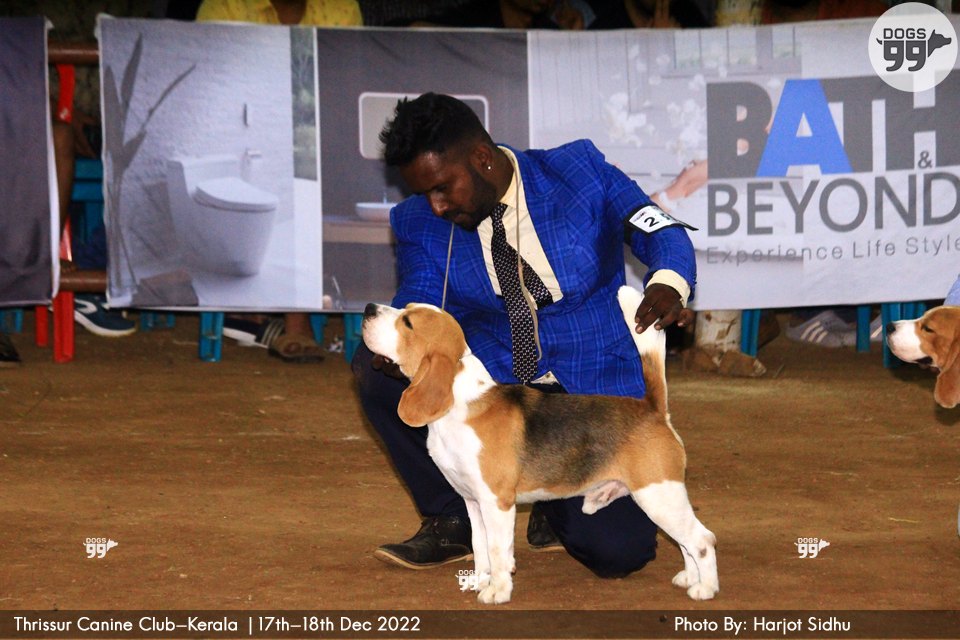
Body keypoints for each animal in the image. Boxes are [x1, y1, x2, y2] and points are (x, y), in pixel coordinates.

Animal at [361, 286, 718, 604]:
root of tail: (653, 409)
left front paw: (498, 592)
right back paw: (689, 577)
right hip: (662, 500)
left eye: (407, 322)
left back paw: (705, 588)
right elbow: (479, 547)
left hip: (659, 495)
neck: (460, 403)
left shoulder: (497, 501)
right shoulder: (473, 502)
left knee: (701, 540)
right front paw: (481, 581)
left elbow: (497, 550)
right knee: (686, 542)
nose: (367, 309)